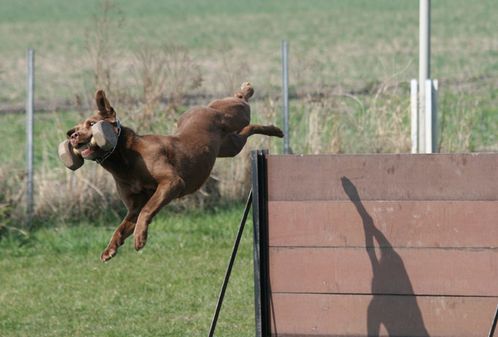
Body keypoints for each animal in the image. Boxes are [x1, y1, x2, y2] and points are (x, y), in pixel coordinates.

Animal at [65, 82, 282, 262]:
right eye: (76, 128)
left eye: (91, 124)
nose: (73, 136)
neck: (124, 157)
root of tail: (204, 107)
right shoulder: (134, 206)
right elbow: (122, 226)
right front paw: (110, 249)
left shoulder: (172, 182)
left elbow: (147, 210)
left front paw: (139, 238)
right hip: (230, 146)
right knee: (246, 130)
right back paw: (274, 129)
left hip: (233, 116)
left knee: (242, 104)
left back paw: (254, 101)